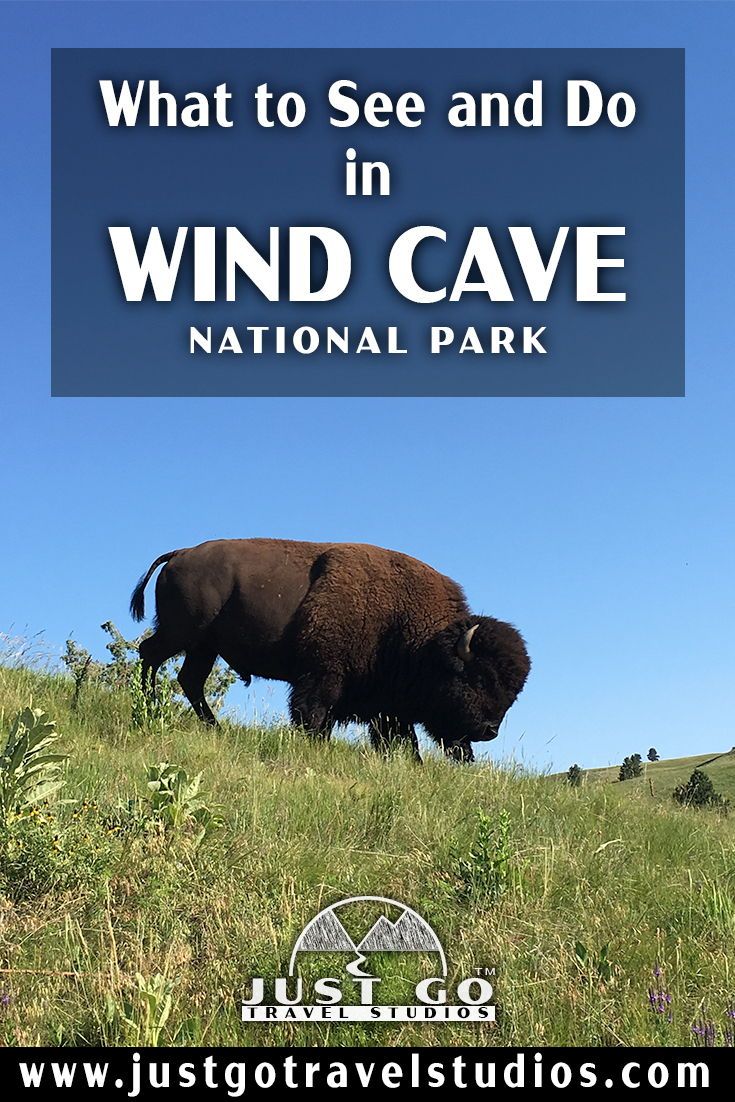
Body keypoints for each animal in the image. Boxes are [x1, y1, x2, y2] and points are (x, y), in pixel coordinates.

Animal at [127, 537, 528, 762]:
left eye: (513, 691)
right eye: (478, 679)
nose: (489, 730)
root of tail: (180, 554)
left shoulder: (386, 706)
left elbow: (402, 738)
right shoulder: (324, 676)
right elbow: (315, 716)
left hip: (203, 646)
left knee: (188, 679)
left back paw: (214, 728)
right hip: (183, 634)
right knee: (150, 656)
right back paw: (147, 710)